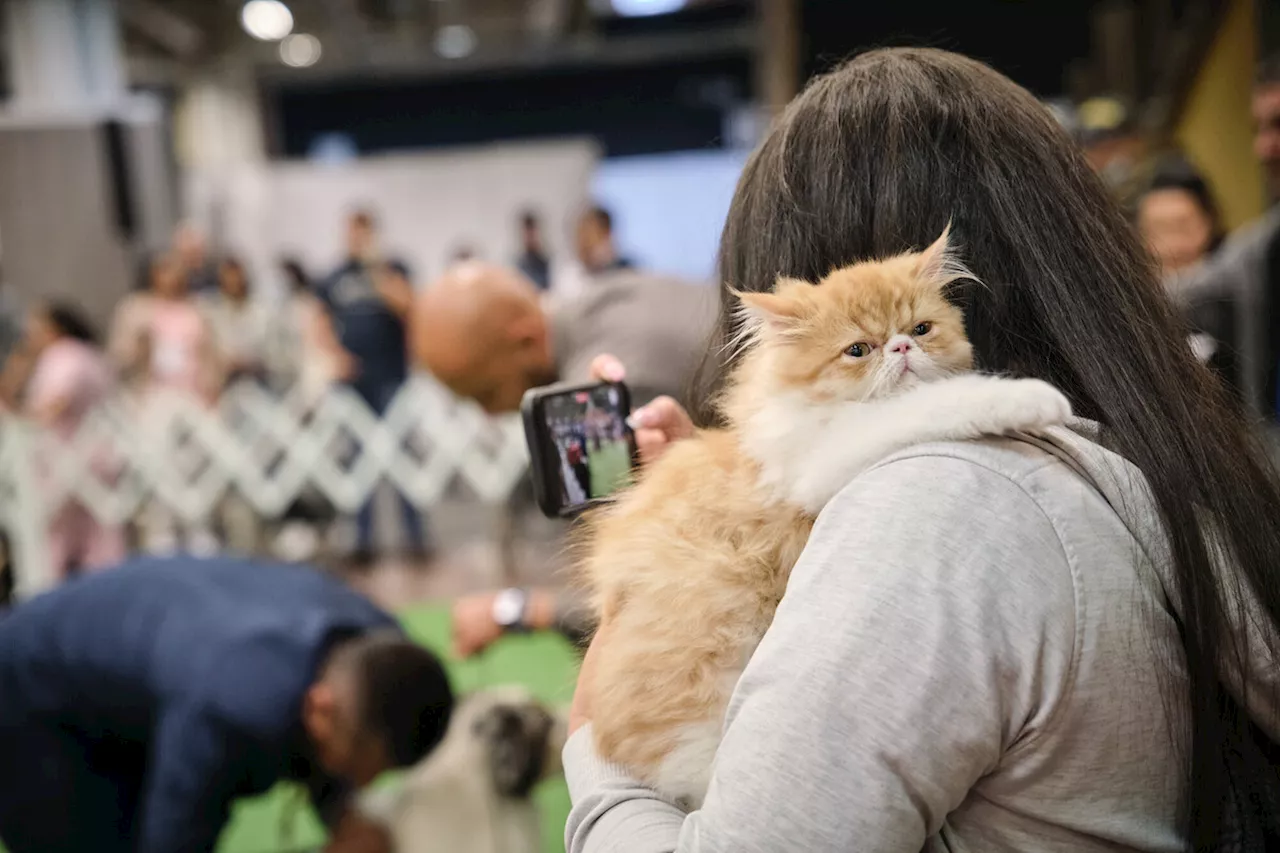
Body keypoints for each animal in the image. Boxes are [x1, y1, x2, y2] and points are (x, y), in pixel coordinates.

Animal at [578, 225, 1070, 804]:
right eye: (858, 350)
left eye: (921, 329)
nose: (902, 347)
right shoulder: (821, 461)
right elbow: (935, 403)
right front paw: (1033, 398)